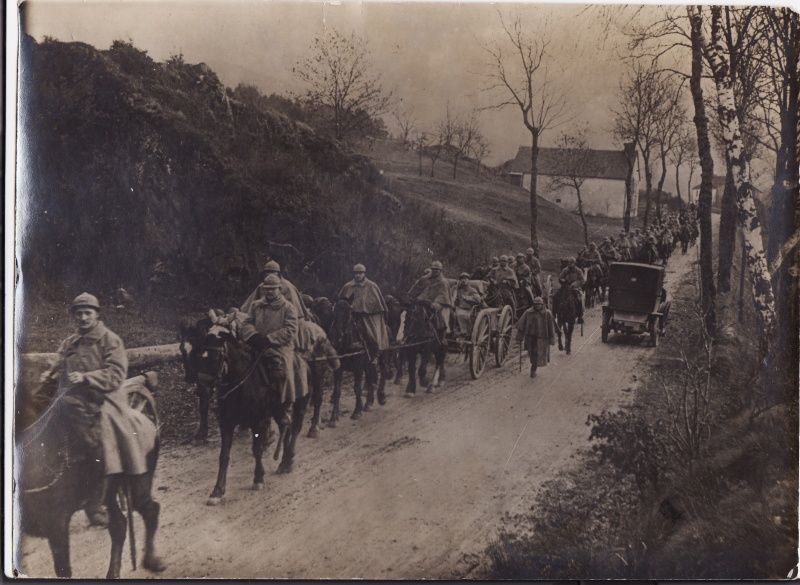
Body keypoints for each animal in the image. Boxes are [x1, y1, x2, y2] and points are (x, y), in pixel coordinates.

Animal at [14, 374, 166, 576]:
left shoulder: (57, 522)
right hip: (109, 494)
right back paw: (114, 572)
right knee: (119, 525)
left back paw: (151, 561)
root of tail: (145, 420)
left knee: (150, 511)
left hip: (139, 484)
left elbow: (63, 568)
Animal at [181, 322, 310, 504]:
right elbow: (224, 456)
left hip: (300, 406)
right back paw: (284, 461)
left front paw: (258, 478)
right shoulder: (226, 423)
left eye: (217, 357)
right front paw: (217, 491)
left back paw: (288, 460)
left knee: (295, 430)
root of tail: (304, 362)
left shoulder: (259, 421)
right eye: (199, 355)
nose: (203, 389)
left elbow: (257, 450)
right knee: (287, 429)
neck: (241, 384)